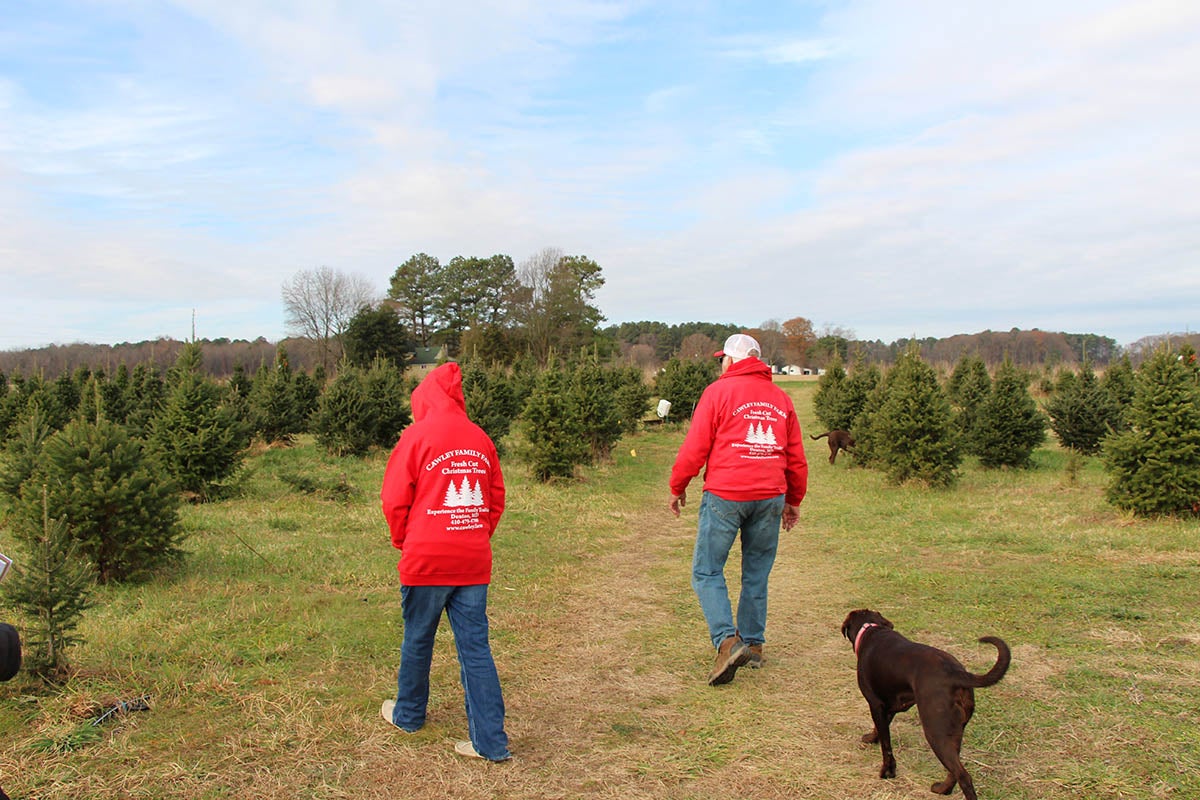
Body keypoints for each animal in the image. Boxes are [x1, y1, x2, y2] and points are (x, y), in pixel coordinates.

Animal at [844, 609, 1012, 796]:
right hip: (954, 731)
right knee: (954, 770)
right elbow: (880, 730)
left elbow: (886, 745)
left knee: (963, 776)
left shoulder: (875, 704)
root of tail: (955, 673)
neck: (871, 629)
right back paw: (943, 789)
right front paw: (872, 738)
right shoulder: (890, 706)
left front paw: (887, 772)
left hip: (936, 731)